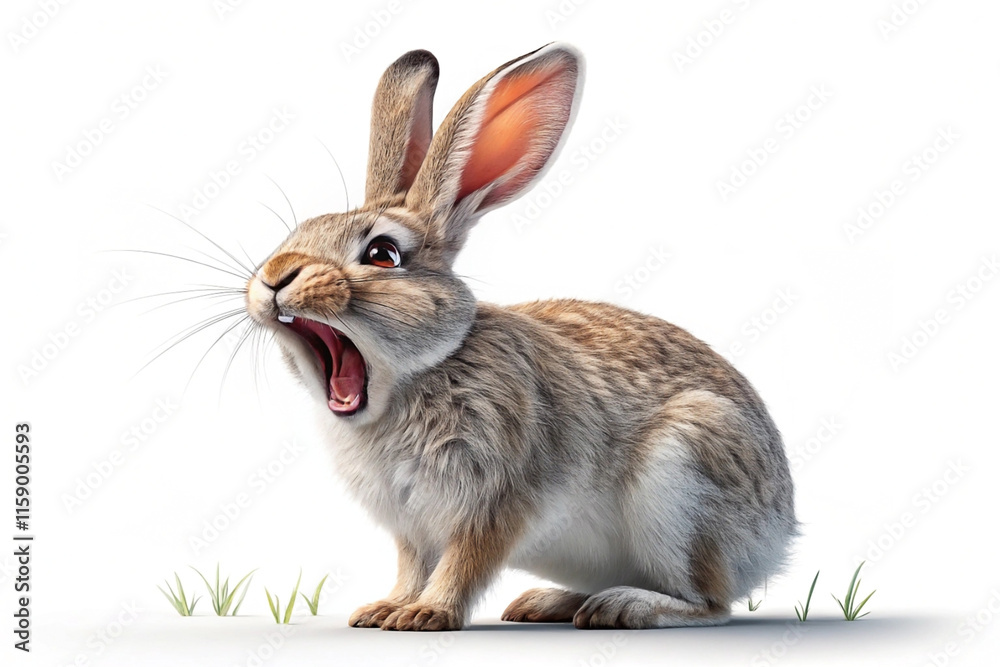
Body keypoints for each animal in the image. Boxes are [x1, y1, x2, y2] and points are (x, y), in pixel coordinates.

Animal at [244, 43, 796, 631]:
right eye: (297, 232)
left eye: (383, 254)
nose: (274, 277)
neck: (418, 377)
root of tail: (780, 535)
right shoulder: (411, 526)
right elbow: (413, 565)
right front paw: (385, 610)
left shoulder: (499, 500)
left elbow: (466, 561)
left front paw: (427, 615)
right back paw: (549, 604)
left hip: (684, 474)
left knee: (711, 602)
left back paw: (622, 607)